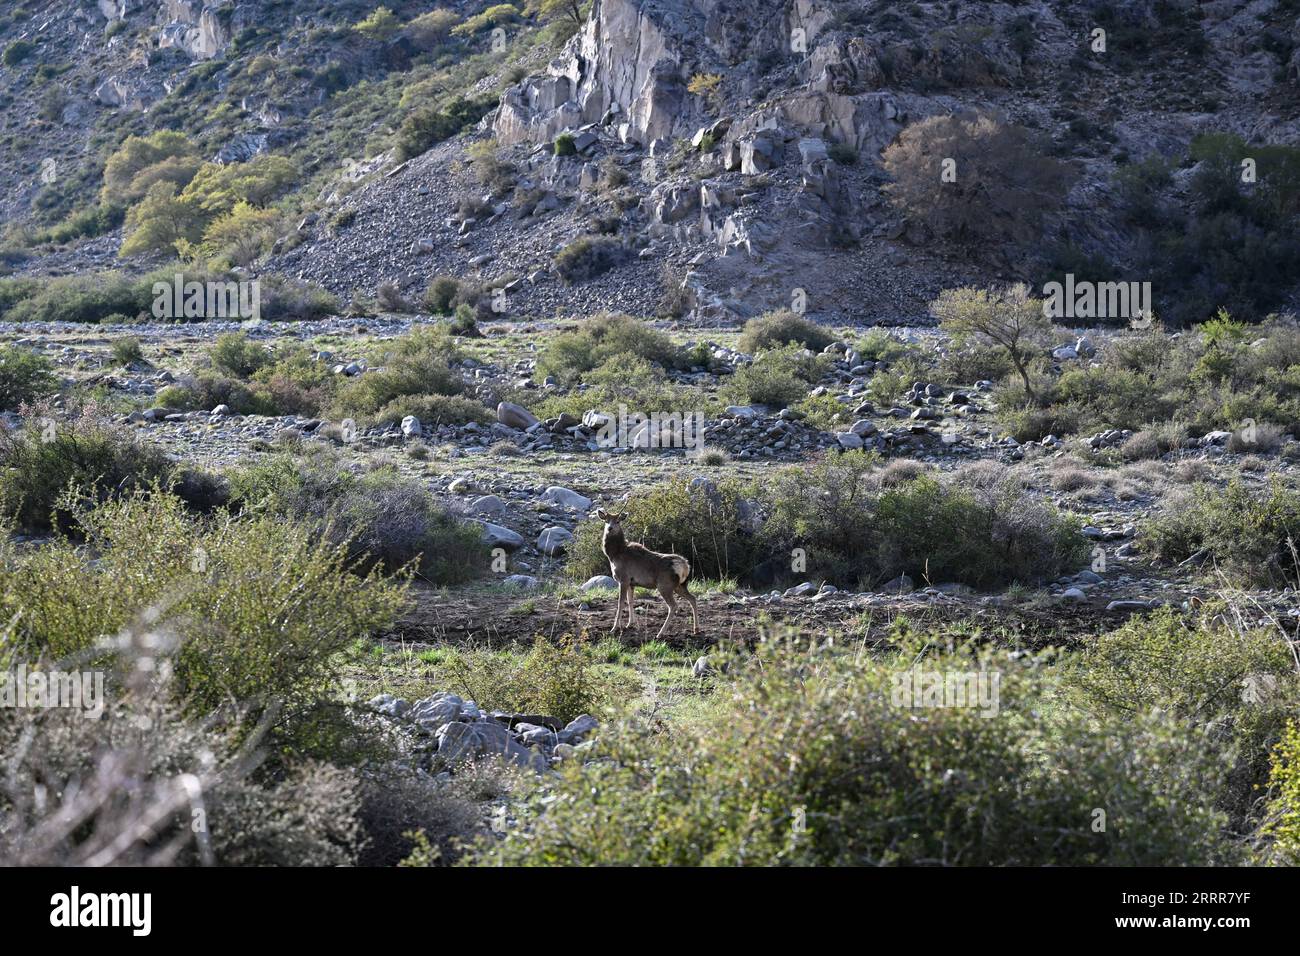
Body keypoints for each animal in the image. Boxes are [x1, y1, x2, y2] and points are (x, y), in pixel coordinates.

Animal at [596, 509, 698, 639]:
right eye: (606, 520)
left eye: (618, 521)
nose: (610, 528)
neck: (614, 555)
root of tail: (685, 566)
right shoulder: (631, 583)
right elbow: (630, 601)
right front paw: (630, 624)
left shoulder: (623, 579)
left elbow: (620, 603)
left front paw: (614, 628)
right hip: (680, 585)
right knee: (693, 598)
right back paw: (696, 629)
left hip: (665, 585)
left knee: (673, 606)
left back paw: (660, 633)